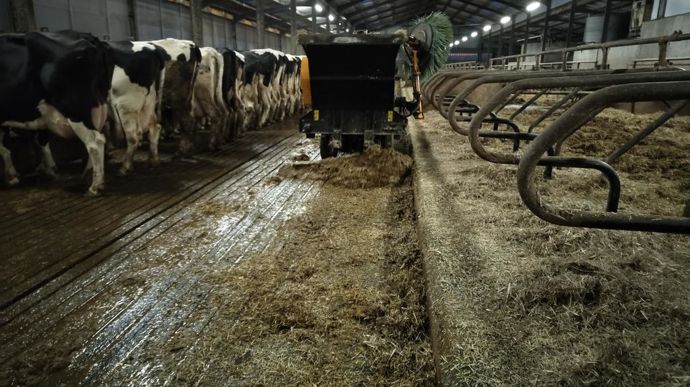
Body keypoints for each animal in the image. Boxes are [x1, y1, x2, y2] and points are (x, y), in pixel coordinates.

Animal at [0, 30, 113, 196]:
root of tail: (88, 37)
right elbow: (39, 141)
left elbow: (4, 149)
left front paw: (11, 177)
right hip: (97, 106)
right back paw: (87, 173)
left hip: (75, 110)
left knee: (94, 142)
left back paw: (95, 186)